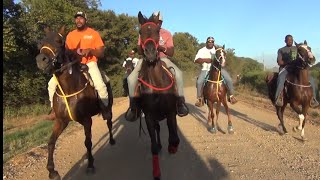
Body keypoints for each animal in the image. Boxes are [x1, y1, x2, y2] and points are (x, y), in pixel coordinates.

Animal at [34, 25, 114, 179]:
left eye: (59, 41)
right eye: (40, 43)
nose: (41, 60)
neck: (68, 89)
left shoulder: (87, 120)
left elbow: (88, 142)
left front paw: (90, 165)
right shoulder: (61, 121)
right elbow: (51, 142)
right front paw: (52, 171)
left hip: (109, 108)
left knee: (109, 122)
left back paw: (112, 140)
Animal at [136, 11, 180, 179]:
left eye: (157, 31)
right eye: (140, 31)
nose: (150, 52)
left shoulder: (171, 112)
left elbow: (173, 135)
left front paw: (173, 146)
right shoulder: (149, 115)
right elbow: (153, 145)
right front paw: (156, 172)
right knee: (157, 130)